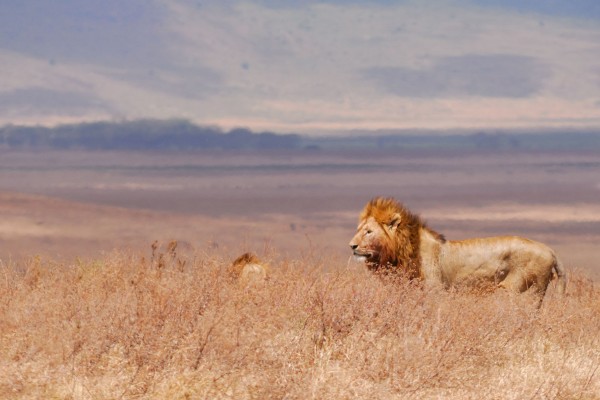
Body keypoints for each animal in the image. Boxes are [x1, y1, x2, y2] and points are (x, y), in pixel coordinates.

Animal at [350, 197, 564, 300]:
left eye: (368, 232)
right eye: (358, 229)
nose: (351, 246)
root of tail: (551, 252)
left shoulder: (435, 290)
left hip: (525, 290)